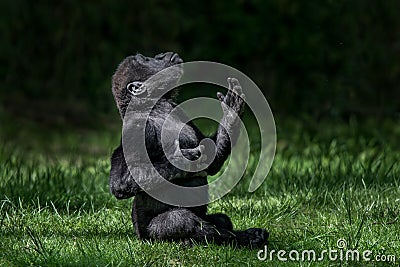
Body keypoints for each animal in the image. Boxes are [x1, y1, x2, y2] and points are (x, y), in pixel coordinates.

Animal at [108, 52, 268, 249]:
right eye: (146, 60)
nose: (162, 55)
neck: (155, 107)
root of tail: (139, 237)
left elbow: (213, 160)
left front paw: (231, 113)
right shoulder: (136, 128)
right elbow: (120, 183)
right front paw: (182, 159)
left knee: (221, 220)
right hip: (150, 237)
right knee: (180, 220)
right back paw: (241, 238)